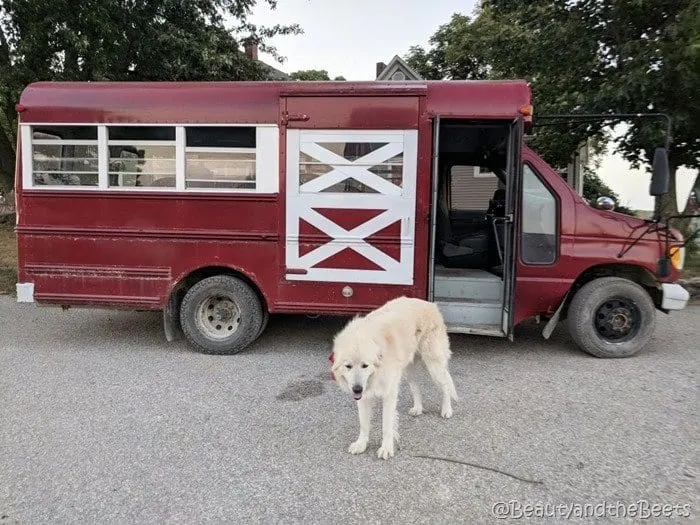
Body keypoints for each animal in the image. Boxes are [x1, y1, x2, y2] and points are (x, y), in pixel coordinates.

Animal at [332, 296, 460, 456]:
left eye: (365, 365)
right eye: (348, 366)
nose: (356, 389)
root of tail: (430, 305)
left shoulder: (389, 393)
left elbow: (387, 424)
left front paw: (387, 448)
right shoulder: (365, 396)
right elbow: (363, 424)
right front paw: (361, 444)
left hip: (433, 365)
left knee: (445, 386)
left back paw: (447, 409)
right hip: (407, 371)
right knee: (416, 388)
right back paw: (418, 408)